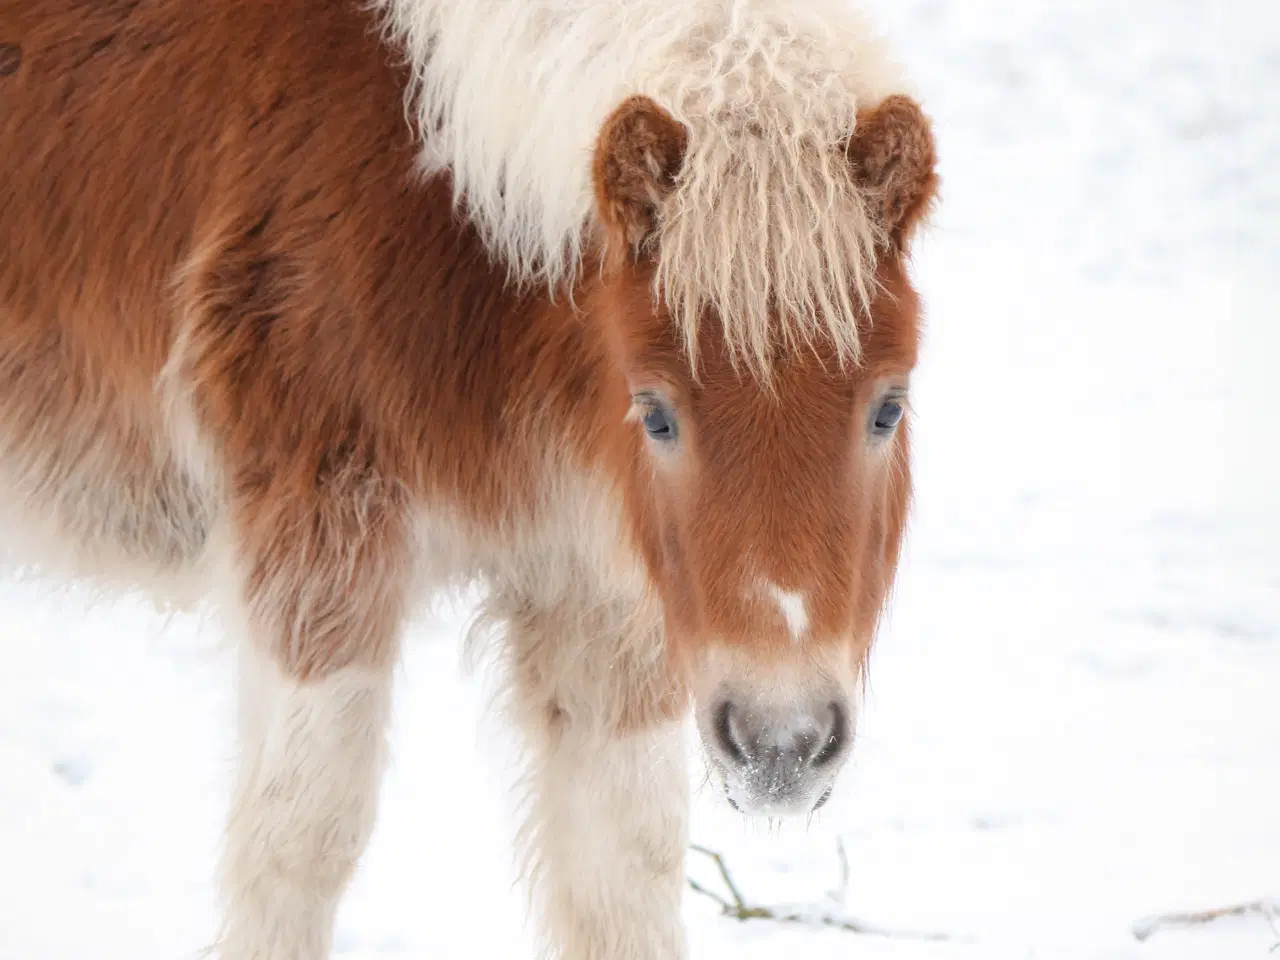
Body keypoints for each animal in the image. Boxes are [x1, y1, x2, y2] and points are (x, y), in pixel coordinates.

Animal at [2, 0, 942, 957]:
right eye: (656, 413)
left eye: (888, 408)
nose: (781, 746)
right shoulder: (320, 548)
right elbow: (297, 846)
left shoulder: (597, 589)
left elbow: (625, 871)